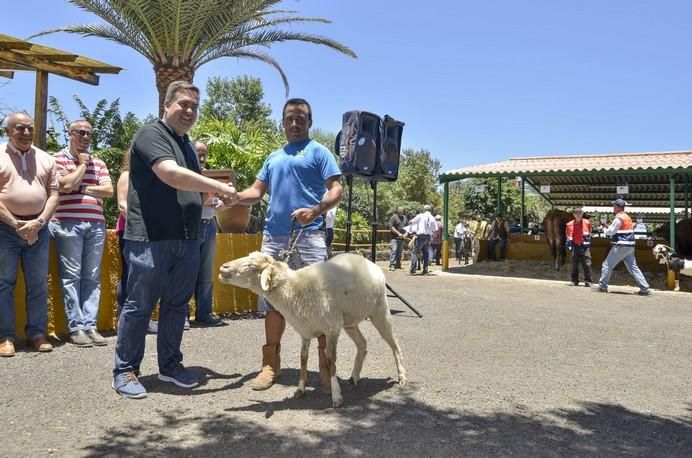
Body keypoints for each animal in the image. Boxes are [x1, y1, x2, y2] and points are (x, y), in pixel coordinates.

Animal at [219, 252, 408, 406]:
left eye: (251, 265)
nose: (223, 267)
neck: (294, 289)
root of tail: (370, 263)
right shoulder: (306, 330)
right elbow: (303, 358)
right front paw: (300, 389)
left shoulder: (331, 328)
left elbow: (330, 360)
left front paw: (336, 396)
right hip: (349, 322)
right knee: (362, 344)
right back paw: (354, 379)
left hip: (380, 311)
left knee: (395, 345)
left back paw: (402, 377)